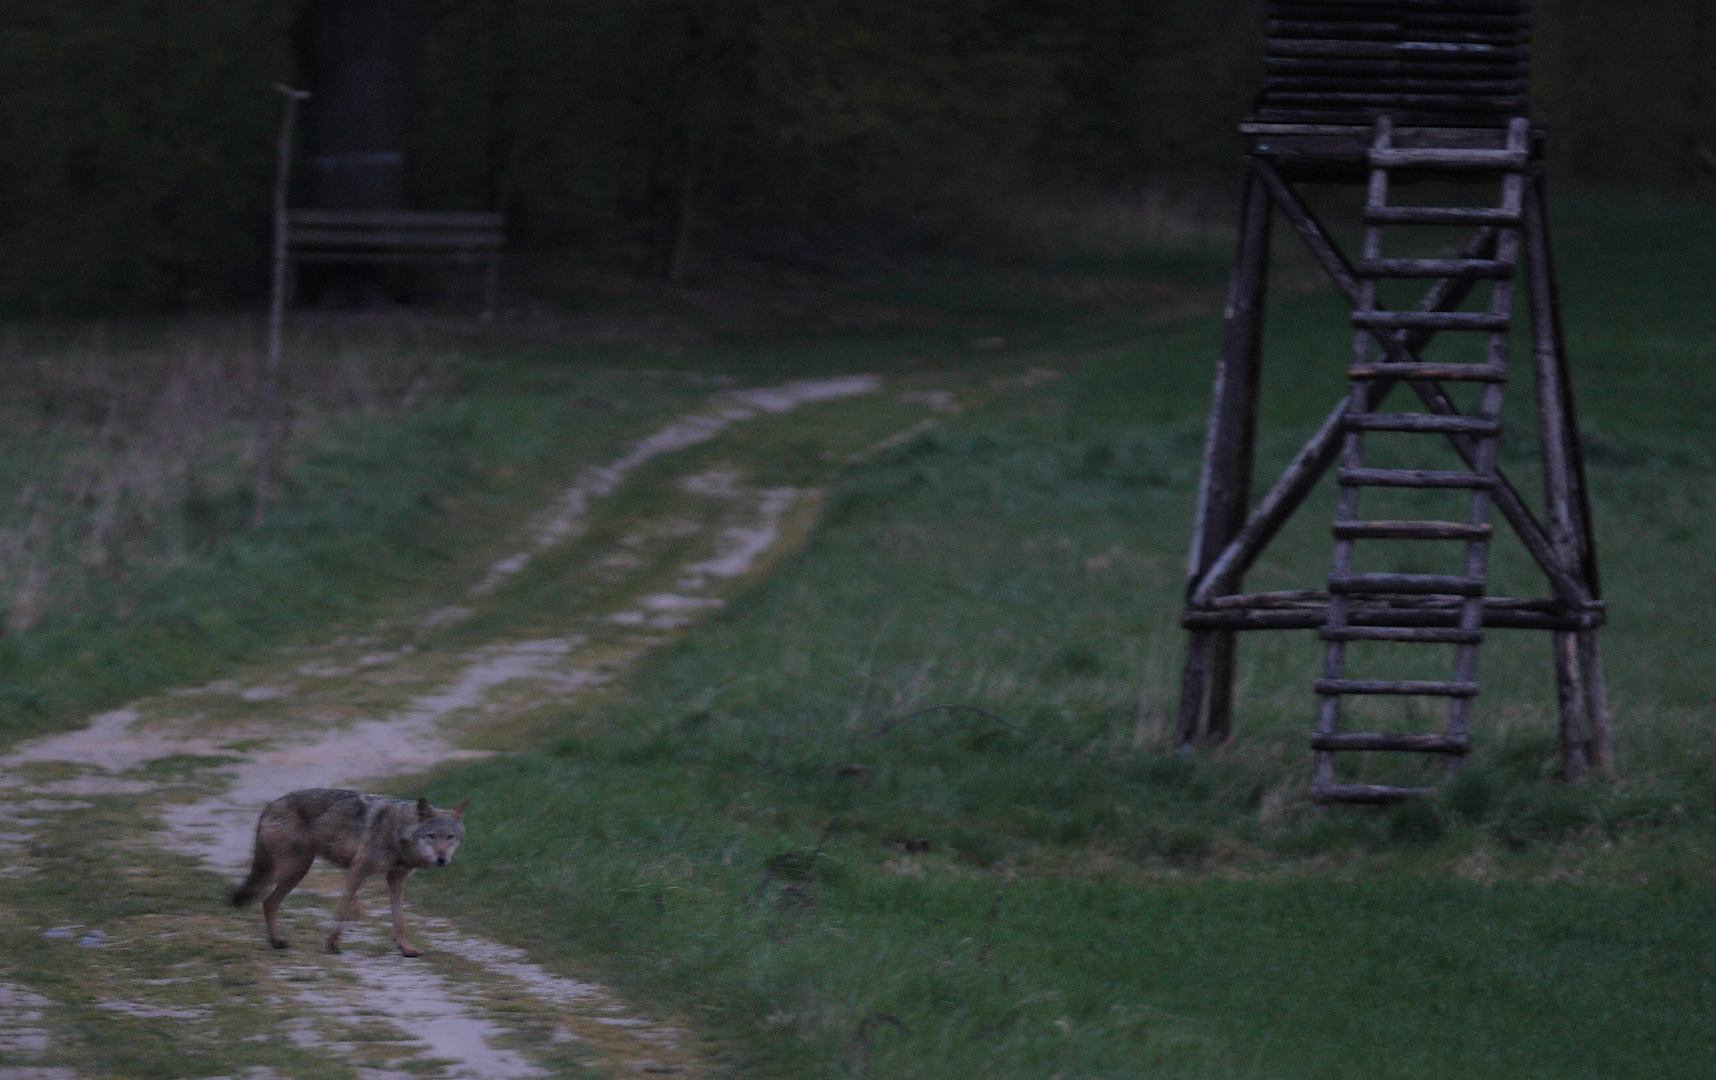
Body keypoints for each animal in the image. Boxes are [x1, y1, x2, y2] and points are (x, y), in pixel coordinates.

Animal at [231, 786, 470, 954]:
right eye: (432, 836)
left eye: (450, 837)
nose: (442, 859)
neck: (398, 833)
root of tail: (269, 806)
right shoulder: (358, 871)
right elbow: (344, 910)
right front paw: (332, 944)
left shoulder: (396, 880)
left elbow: (399, 921)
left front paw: (406, 948)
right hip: (294, 870)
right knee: (267, 901)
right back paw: (276, 941)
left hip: (293, 872)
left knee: (268, 902)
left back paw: (276, 942)